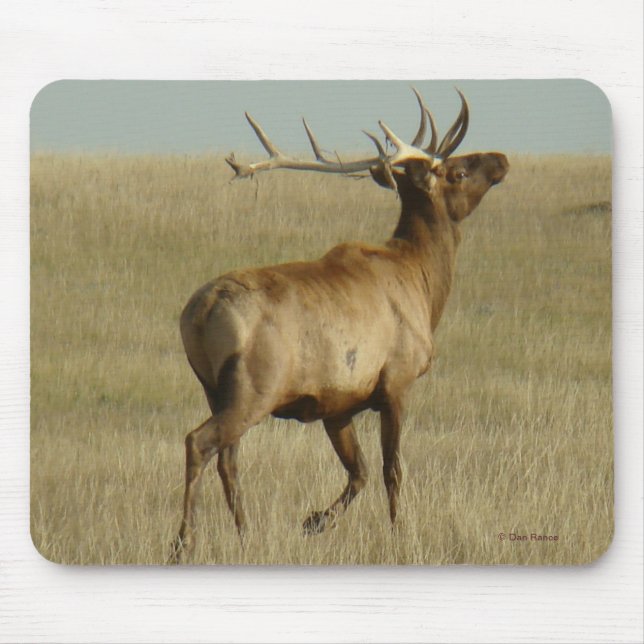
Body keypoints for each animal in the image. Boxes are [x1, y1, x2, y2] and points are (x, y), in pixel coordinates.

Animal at [170, 88, 509, 563]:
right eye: (457, 171)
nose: (501, 159)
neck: (423, 283)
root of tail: (201, 311)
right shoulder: (397, 381)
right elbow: (391, 469)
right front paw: (399, 534)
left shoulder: (337, 405)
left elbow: (359, 471)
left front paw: (313, 521)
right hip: (254, 388)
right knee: (200, 443)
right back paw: (183, 542)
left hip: (214, 388)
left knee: (228, 458)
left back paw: (246, 534)